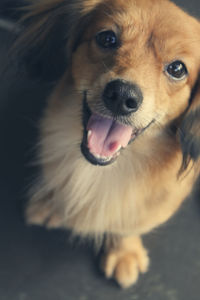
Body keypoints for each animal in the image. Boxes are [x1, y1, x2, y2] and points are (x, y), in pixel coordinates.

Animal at [16, 0, 200, 288]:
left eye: (178, 69)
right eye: (107, 38)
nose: (122, 96)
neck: (98, 170)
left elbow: (128, 224)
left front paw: (124, 252)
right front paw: (51, 203)